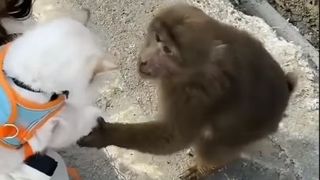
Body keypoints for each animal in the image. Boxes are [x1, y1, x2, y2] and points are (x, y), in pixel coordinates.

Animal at [78, 3, 298, 179]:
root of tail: (286, 91)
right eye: (157, 38)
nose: (145, 60)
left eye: (167, 50)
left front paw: (106, 134)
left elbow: (173, 138)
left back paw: (208, 167)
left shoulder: (195, 96)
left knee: (212, 143)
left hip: (249, 131)